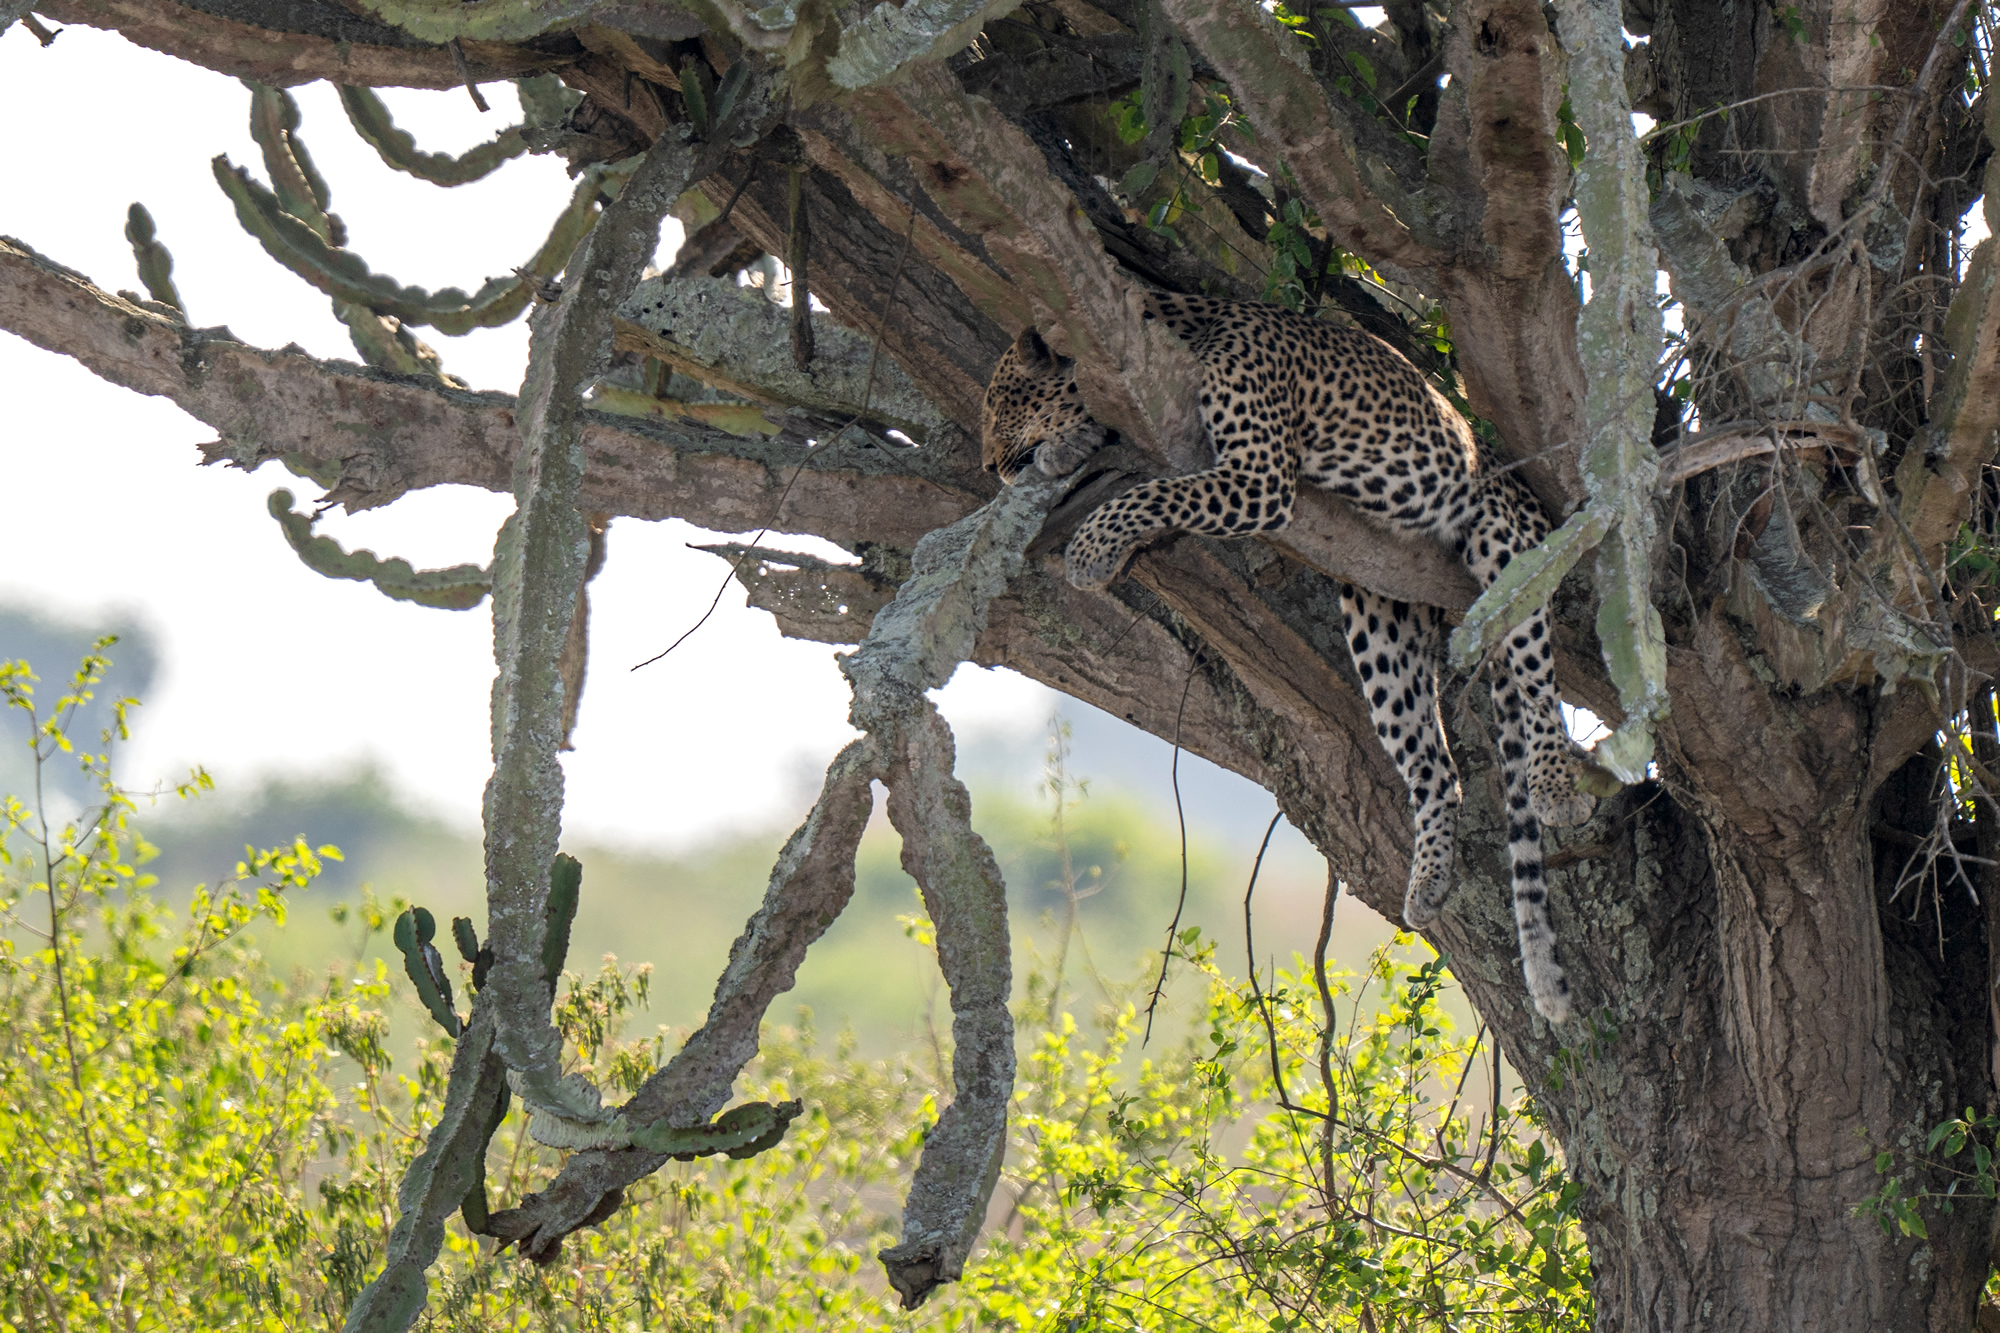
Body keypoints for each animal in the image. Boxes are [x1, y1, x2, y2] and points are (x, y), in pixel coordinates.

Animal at [982, 293, 1595, 1023]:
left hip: (1506, 543)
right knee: (1437, 765)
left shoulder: (1257, 479)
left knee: (1537, 682)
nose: (989, 466)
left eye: (998, 402)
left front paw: (1089, 550)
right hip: (1377, 615)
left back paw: (1557, 787)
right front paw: (1067, 454)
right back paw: (1427, 884)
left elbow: (1149, 495)